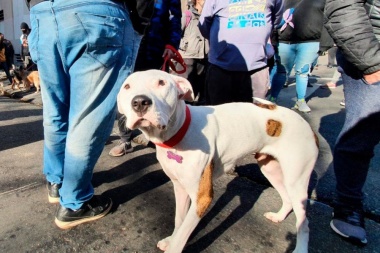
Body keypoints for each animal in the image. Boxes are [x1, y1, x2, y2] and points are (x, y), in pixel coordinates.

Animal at [117, 69, 320, 253]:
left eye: (161, 82)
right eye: (127, 86)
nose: (140, 102)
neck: (178, 134)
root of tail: (306, 123)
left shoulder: (202, 197)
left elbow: (182, 235)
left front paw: (174, 244)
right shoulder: (180, 187)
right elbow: (179, 221)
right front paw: (171, 238)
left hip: (296, 180)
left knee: (305, 222)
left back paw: (300, 249)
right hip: (270, 169)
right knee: (286, 198)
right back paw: (278, 216)